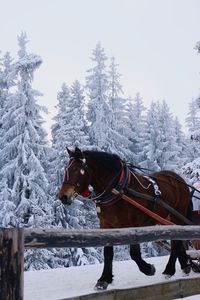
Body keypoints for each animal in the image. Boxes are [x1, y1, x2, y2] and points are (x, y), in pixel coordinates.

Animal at [57, 146, 192, 290]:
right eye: (66, 169)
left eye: (77, 169)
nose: (63, 196)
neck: (118, 188)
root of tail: (179, 179)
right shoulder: (106, 225)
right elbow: (108, 252)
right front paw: (104, 279)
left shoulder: (133, 225)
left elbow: (134, 253)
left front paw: (148, 269)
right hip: (167, 219)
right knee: (177, 240)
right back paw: (185, 265)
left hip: (177, 215)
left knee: (176, 241)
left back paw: (169, 270)